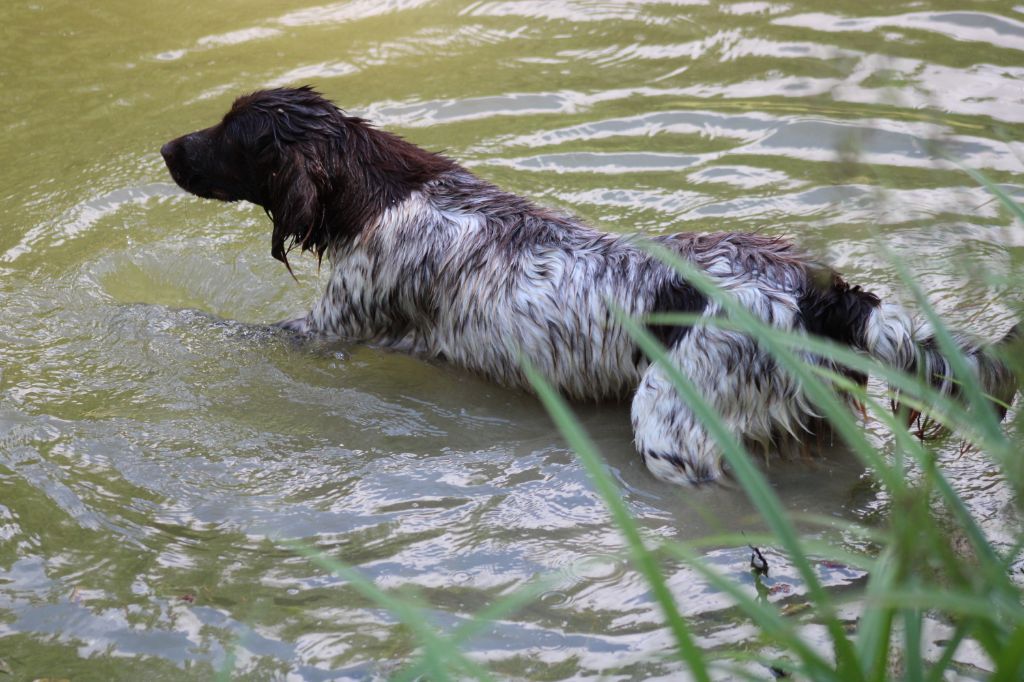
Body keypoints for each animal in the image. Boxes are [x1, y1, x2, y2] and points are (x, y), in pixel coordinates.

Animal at [159, 86, 1015, 483]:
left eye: (232, 133)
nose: (165, 146)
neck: (383, 191)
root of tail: (821, 295)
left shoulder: (331, 329)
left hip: (674, 430)